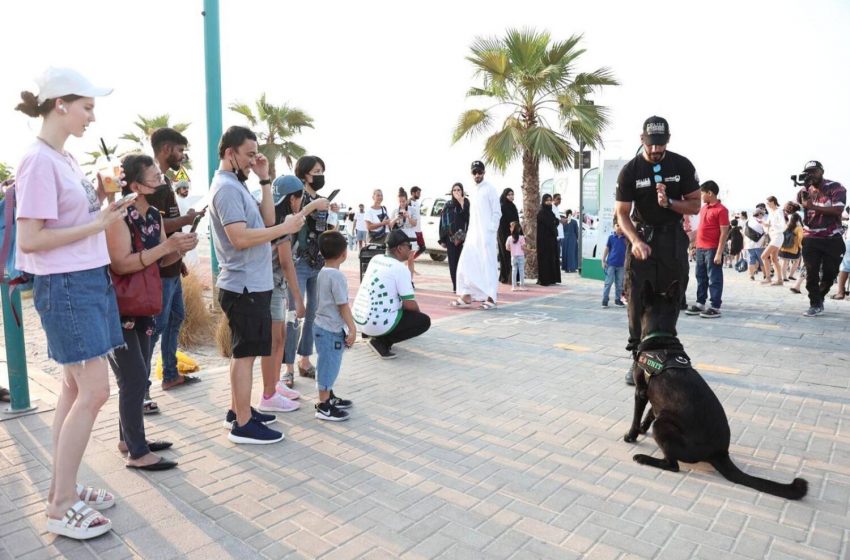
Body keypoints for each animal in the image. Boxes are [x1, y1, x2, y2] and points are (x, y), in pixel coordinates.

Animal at [624, 282, 808, 500]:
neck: (660, 337)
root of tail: (720, 453)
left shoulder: (641, 392)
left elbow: (637, 417)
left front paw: (632, 435)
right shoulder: (657, 399)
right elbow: (650, 413)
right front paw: (643, 429)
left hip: (662, 425)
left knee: (673, 465)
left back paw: (644, 458)